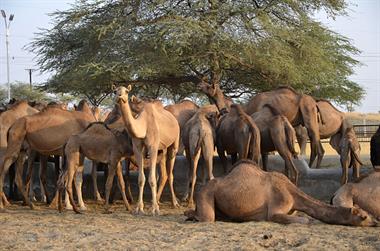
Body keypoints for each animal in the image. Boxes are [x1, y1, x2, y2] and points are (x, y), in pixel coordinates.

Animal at [113, 85, 180, 215]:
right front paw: (139, 208)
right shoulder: (138, 148)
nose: (120, 96)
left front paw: (154, 209)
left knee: (170, 173)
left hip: (174, 144)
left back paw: (174, 203)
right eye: (115, 91)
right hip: (162, 150)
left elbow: (152, 179)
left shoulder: (152, 147)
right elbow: (141, 179)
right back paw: (157, 202)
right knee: (163, 174)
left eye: (126, 91)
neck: (143, 126)